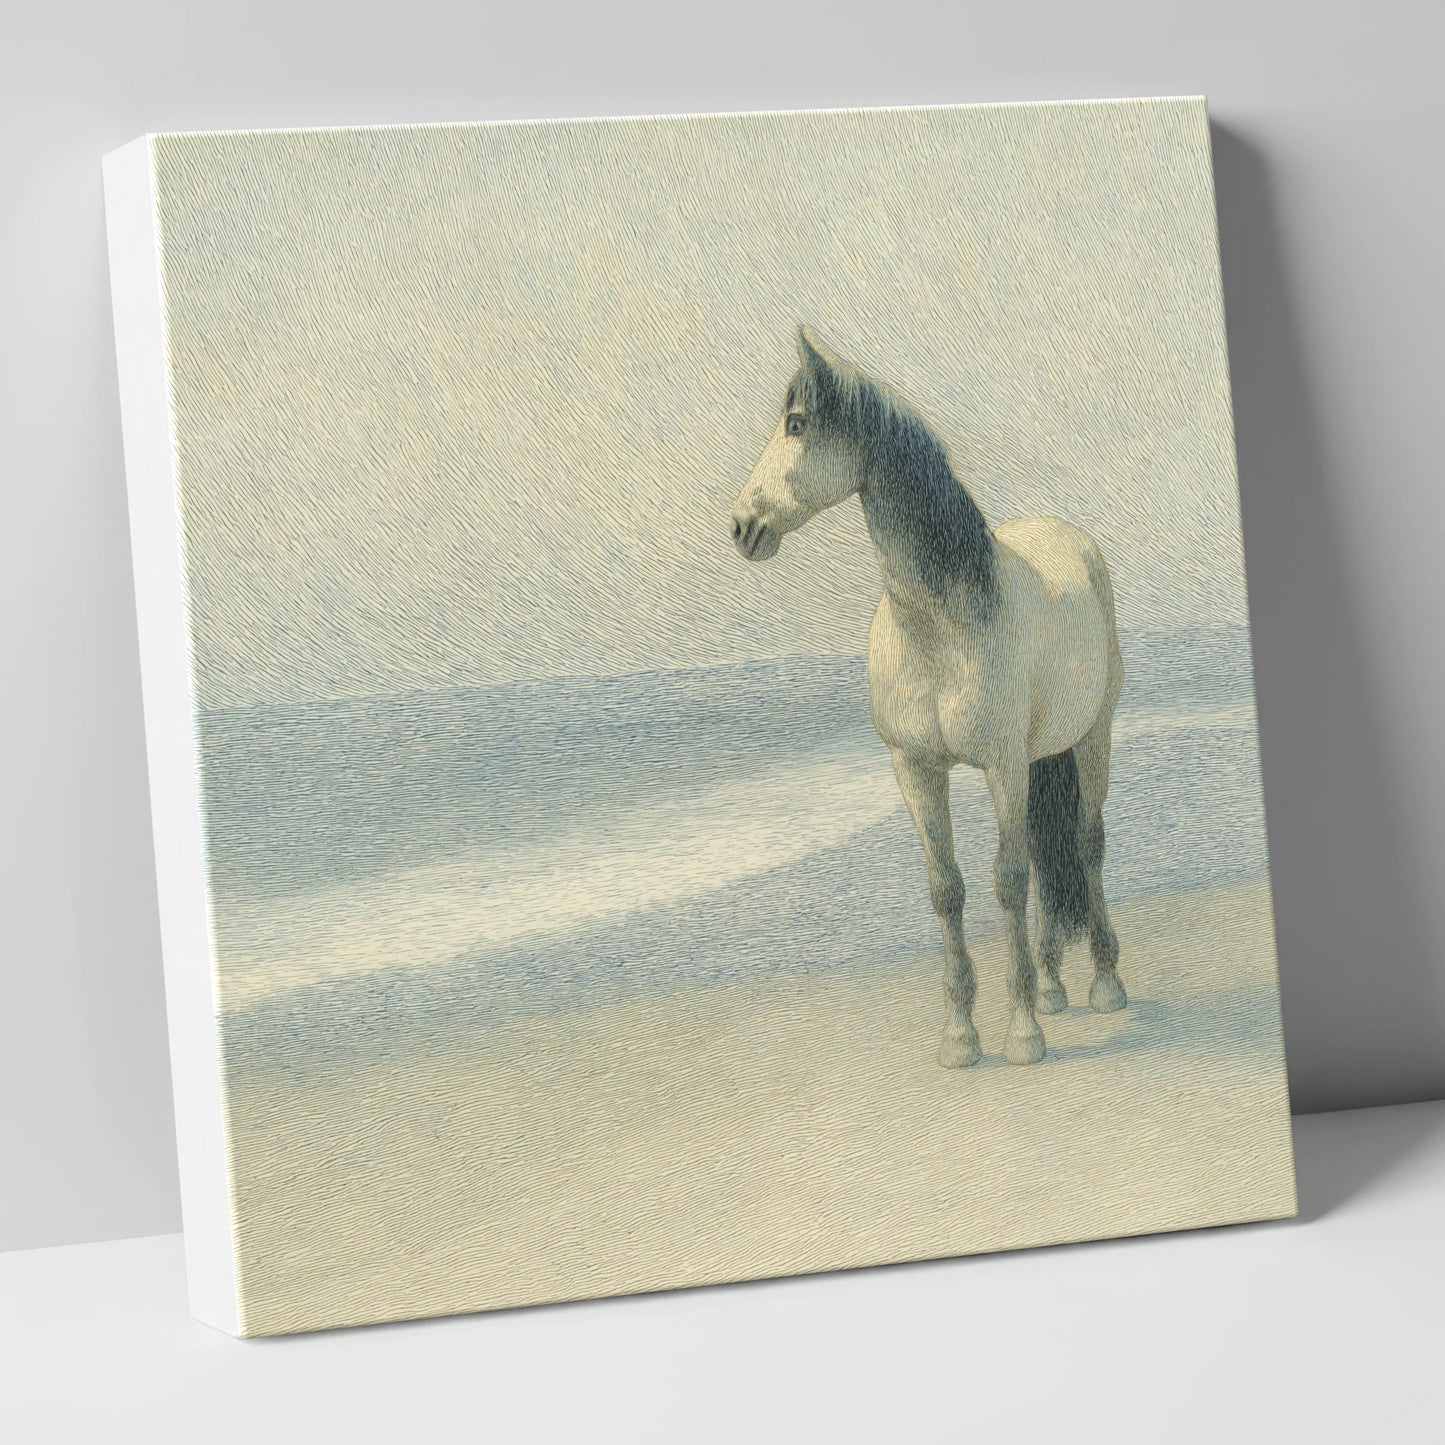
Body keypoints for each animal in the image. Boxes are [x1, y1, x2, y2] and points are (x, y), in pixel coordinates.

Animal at [728, 327, 1127, 1068]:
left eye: (796, 424)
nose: (741, 526)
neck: (942, 623)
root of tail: (1068, 537)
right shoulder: (914, 768)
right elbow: (948, 890)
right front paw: (961, 1037)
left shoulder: (1001, 765)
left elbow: (1007, 880)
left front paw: (1021, 1034)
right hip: (1041, 754)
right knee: (1048, 855)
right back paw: (1052, 987)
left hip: (1092, 736)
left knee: (1085, 844)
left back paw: (1104, 983)